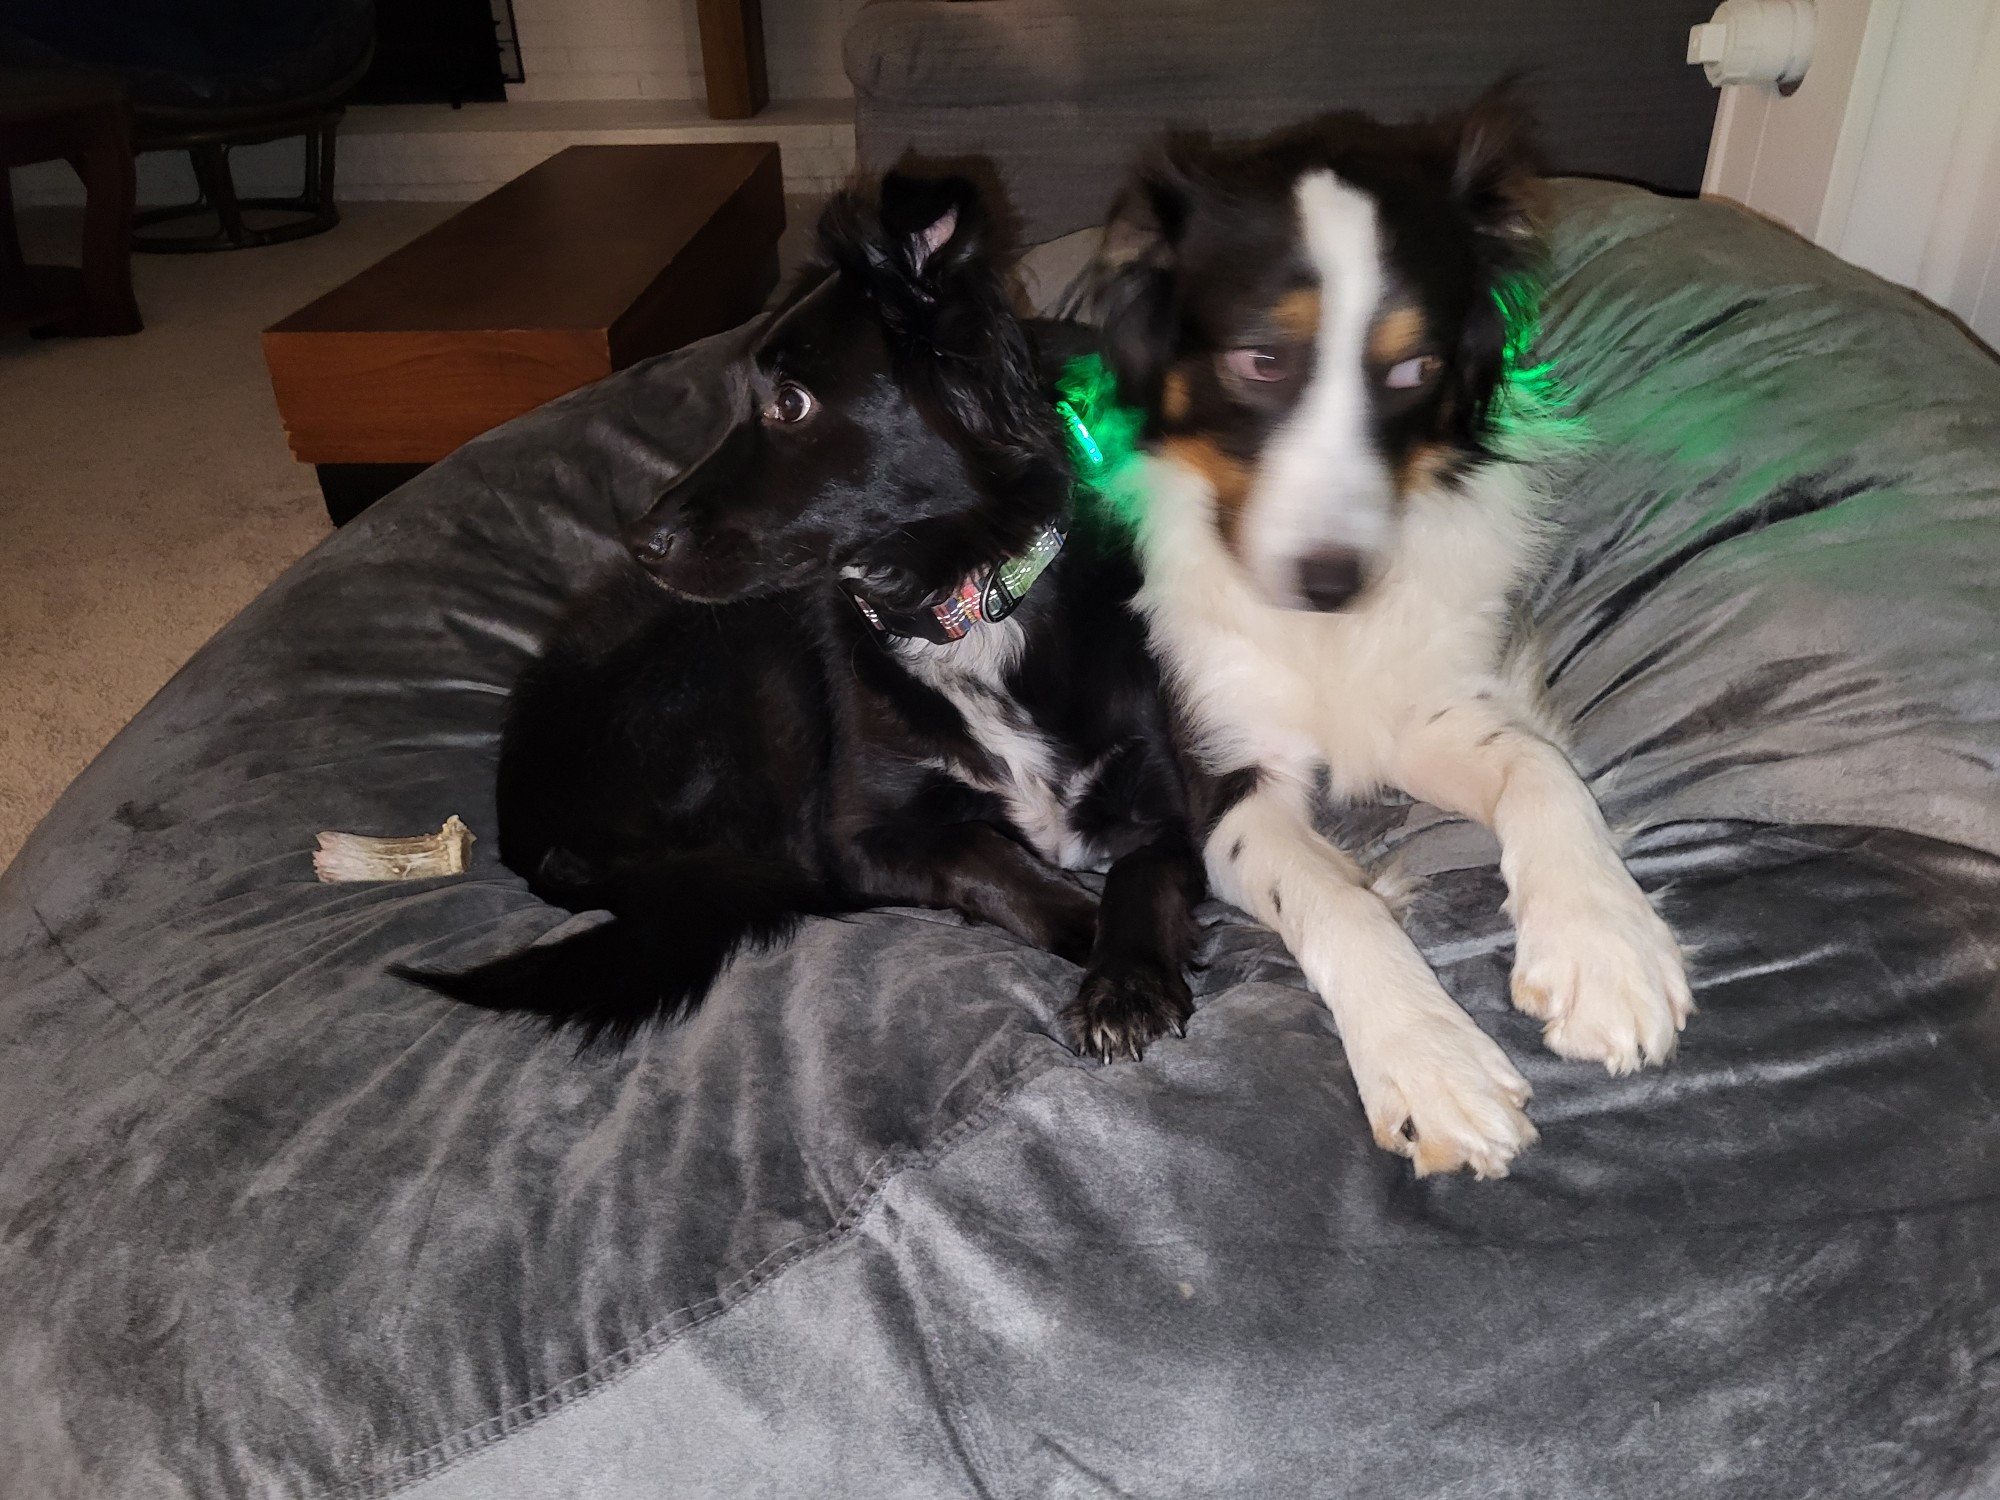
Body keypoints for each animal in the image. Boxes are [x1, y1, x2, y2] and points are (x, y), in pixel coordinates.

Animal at [398, 176, 1192, 1064]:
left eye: (789, 403)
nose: (640, 543)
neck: (963, 603)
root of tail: (522, 817)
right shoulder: (858, 836)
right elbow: (984, 854)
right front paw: (1089, 931)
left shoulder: (1162, 801)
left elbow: (1147, 873)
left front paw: (1127, 976)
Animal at [1096, 103, 1688, 1184]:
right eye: (1260, 361)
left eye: (1415, 369)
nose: (1332, 584)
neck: (1324, 640)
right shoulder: (1222, 779)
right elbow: (1336, 899)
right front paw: (1427, 1059)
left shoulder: (1420, 708)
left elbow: (1537, 769)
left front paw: (1602, 943)